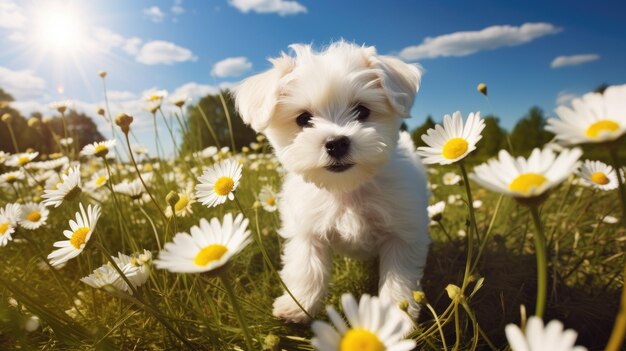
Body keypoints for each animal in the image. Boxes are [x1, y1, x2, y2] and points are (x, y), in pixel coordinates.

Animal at [233, 40, 428, 322]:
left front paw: (393, 316)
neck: (346, 189)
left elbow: (397, 277)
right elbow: (306, 267)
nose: (336, 143)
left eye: (362, 111)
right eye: (303, 119)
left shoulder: (402, 233)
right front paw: (298, 305)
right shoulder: (307, 229)